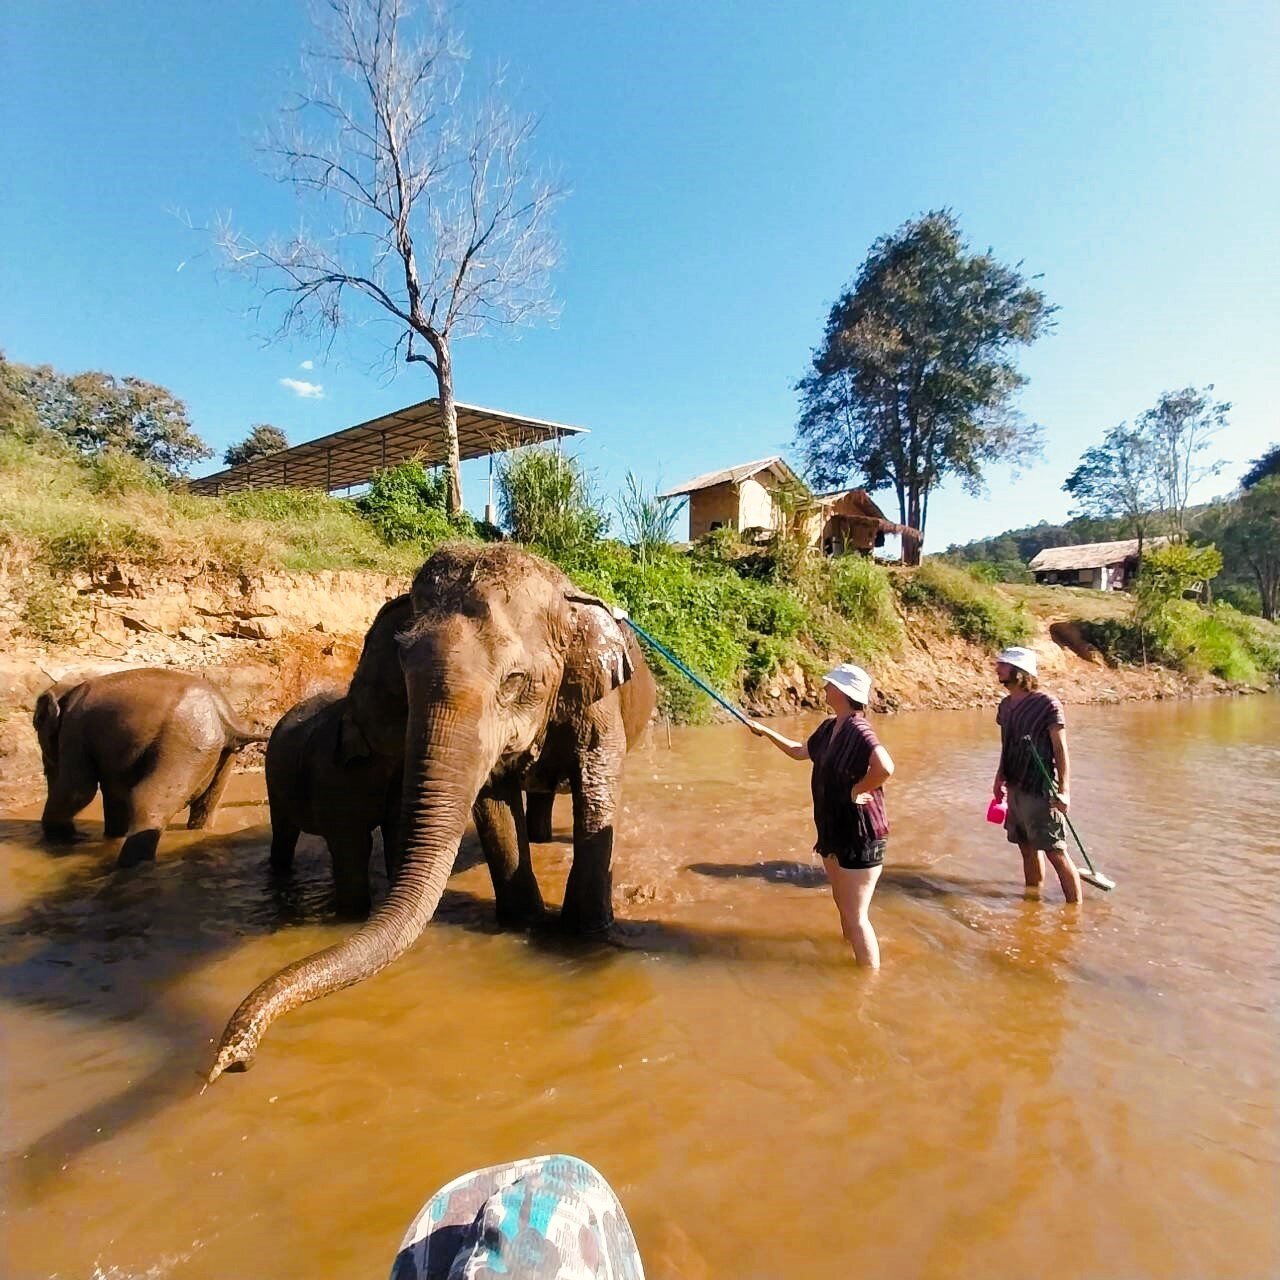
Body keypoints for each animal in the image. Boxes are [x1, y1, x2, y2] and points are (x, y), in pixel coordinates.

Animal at [34, 665, 267, 865]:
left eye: (37, 725)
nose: (78, 836)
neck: (67, 688)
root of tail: (223, 715)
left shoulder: (74, 730)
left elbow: (78, 790)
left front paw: (62, 839)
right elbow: (113, 796)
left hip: (182, 746)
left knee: (148, 801)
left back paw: (129, 865)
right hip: (222, 755)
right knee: (207, 805)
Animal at [209, 540, 655, 1080]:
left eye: (514, 681)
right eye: (403, 682)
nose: (234, 1060)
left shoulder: (600, 702)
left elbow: (596, 781)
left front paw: (585, 937)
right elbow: (494, 800)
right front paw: (523, 924)